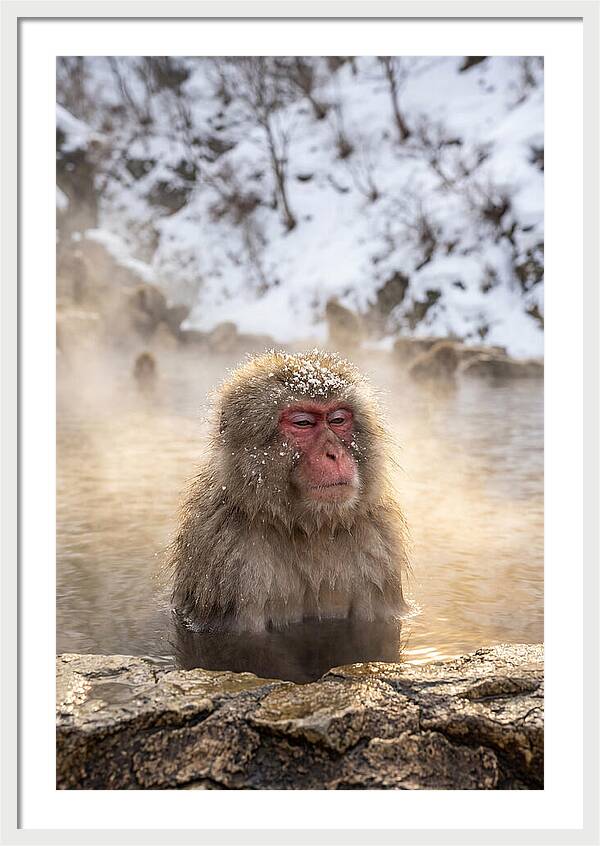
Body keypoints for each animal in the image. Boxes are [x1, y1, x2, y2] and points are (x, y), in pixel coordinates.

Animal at [170, 349, 410, 633]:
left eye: (338, 419)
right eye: (303, 423)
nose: (334, 454)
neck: (309, 529)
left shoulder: (378, 548)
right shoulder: (228, 559)